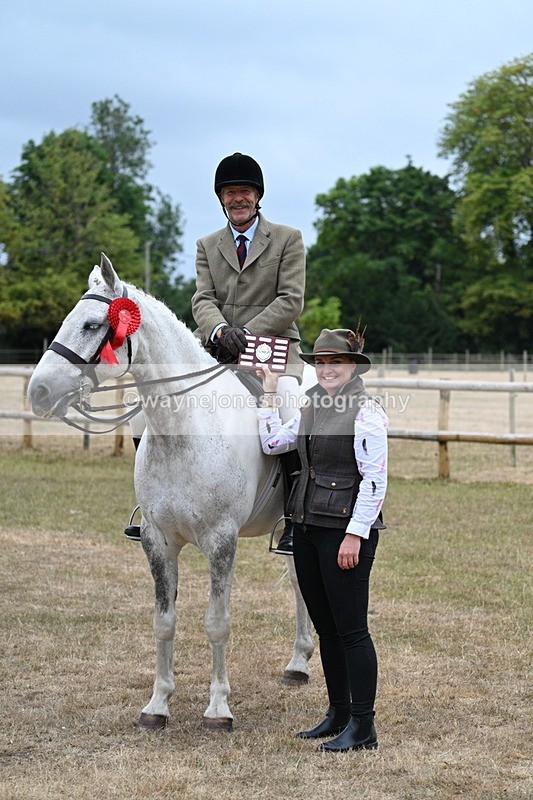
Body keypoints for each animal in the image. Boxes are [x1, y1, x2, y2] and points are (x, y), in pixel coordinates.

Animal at [27, 253, 314, 731]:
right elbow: (164, 621)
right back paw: (299, 663)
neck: (187, 428)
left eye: (91, 325)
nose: (39, 391)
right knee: (298, 578)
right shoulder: (157, 540)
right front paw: (158, 704)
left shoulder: (221, 540)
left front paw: (218, 709)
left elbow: (217, 622)